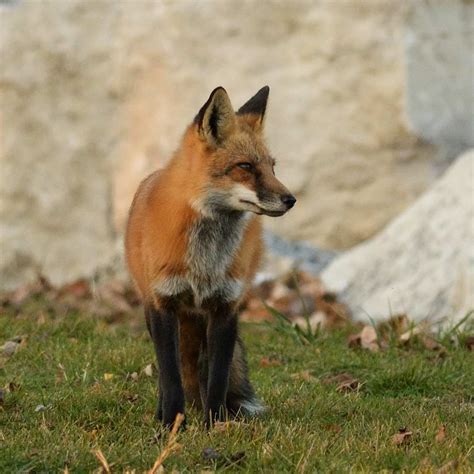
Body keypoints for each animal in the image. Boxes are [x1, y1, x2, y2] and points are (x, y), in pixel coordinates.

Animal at [124, 86, 294, 430]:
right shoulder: (163, 304)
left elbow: (217, 377)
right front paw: (171, 425)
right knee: (167, 373)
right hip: (154, 311)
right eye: (246, 167)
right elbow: (171, 377)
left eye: (272, 167)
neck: (205, 262)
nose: (290, 199)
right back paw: (161, 414)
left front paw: (215, 425)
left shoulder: (226, 306)